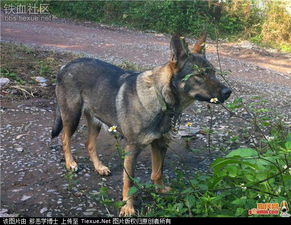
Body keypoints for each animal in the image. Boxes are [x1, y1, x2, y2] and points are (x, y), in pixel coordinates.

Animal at [50, 34, 233, 215]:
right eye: (199, 75)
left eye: (214, 73)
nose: (228, 92)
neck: (161, 98)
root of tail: (66, 66)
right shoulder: (132, 149)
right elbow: (129, 182)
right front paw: (128, 206)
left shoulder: (160, 144)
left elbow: (158, 172)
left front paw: (160, 189)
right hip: (72, 117)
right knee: (65, 139)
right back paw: (70, 163)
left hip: (96, 121)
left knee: (89, 144)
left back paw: (99, 167)